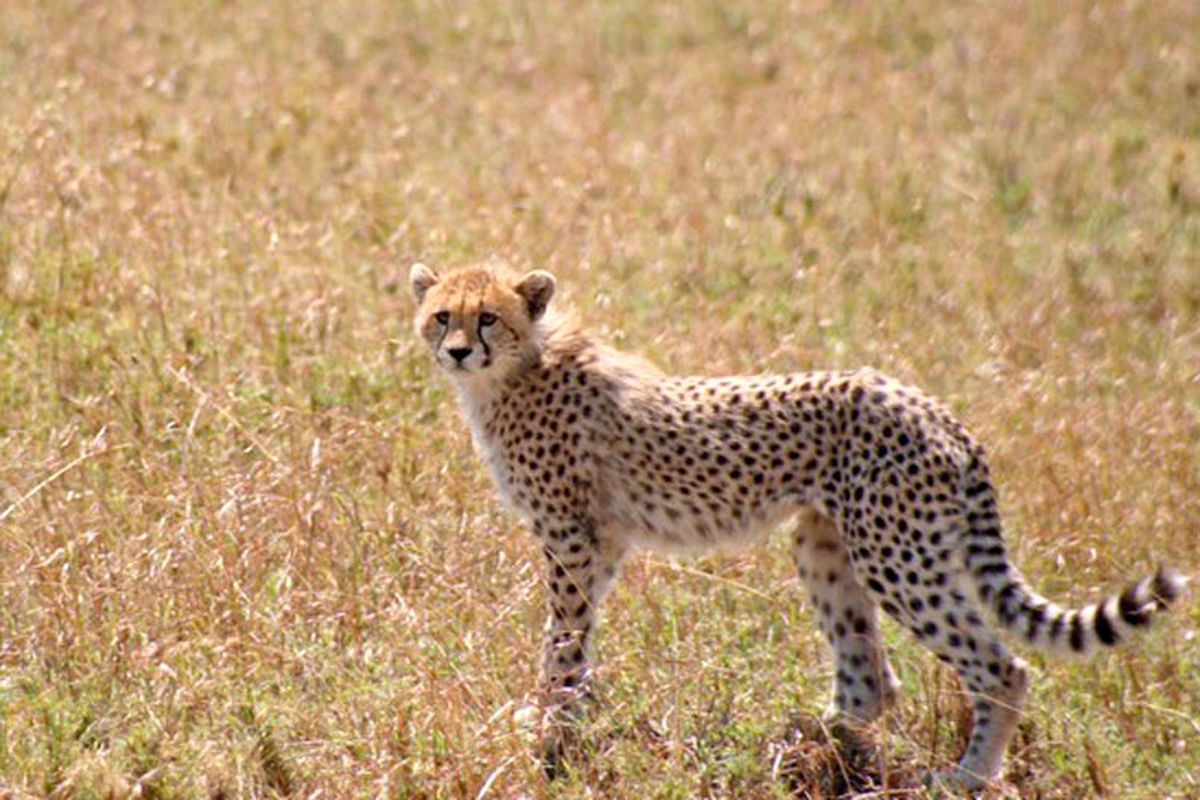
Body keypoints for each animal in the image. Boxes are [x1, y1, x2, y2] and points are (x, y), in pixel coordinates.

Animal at [410, 263, 1180, 796]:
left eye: (489, 319)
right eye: (443, 315)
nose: (457, 351)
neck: (517, 371)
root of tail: (931, 405)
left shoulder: (574, 537)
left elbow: (561, 640)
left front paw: (552, 732)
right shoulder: (600, 542)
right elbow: (573, 640)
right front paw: (564, 720)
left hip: (896, 553)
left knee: (999, 666)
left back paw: (963, 777)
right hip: (824, 544)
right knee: (872, 678)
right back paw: (806, 746)